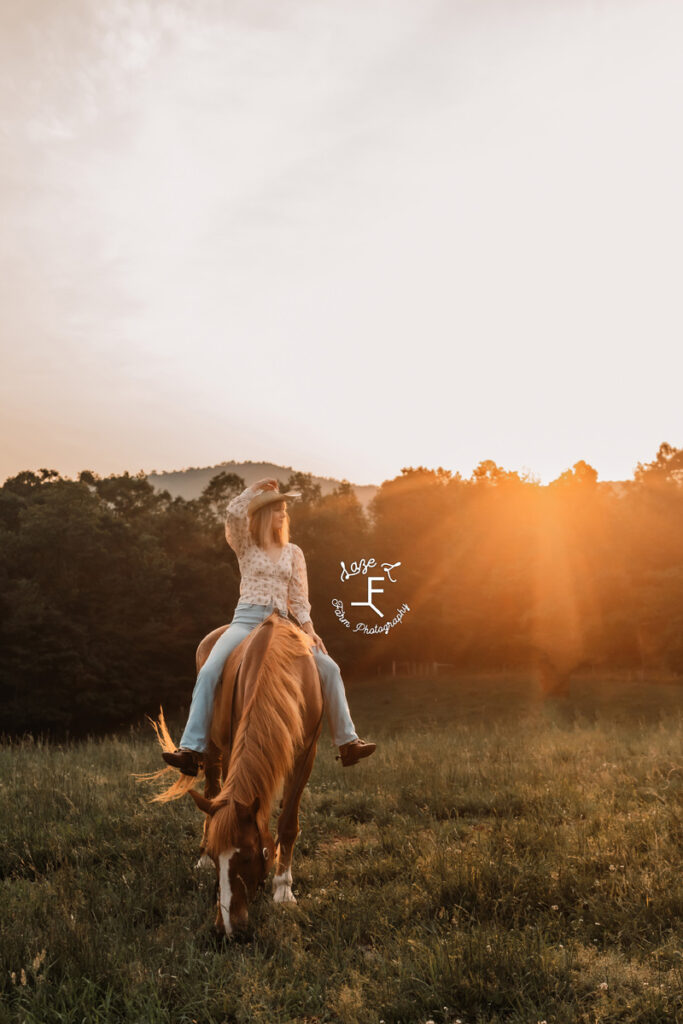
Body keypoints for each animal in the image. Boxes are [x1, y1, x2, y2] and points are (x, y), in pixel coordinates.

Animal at [143, 606, 323, 937]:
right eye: (217, 857)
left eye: (249, 855)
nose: (226, 928)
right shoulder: (233, 744)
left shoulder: (306, 755)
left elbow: (287, 823)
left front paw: (283, 890)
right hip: (215, 749)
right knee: (212, 792)